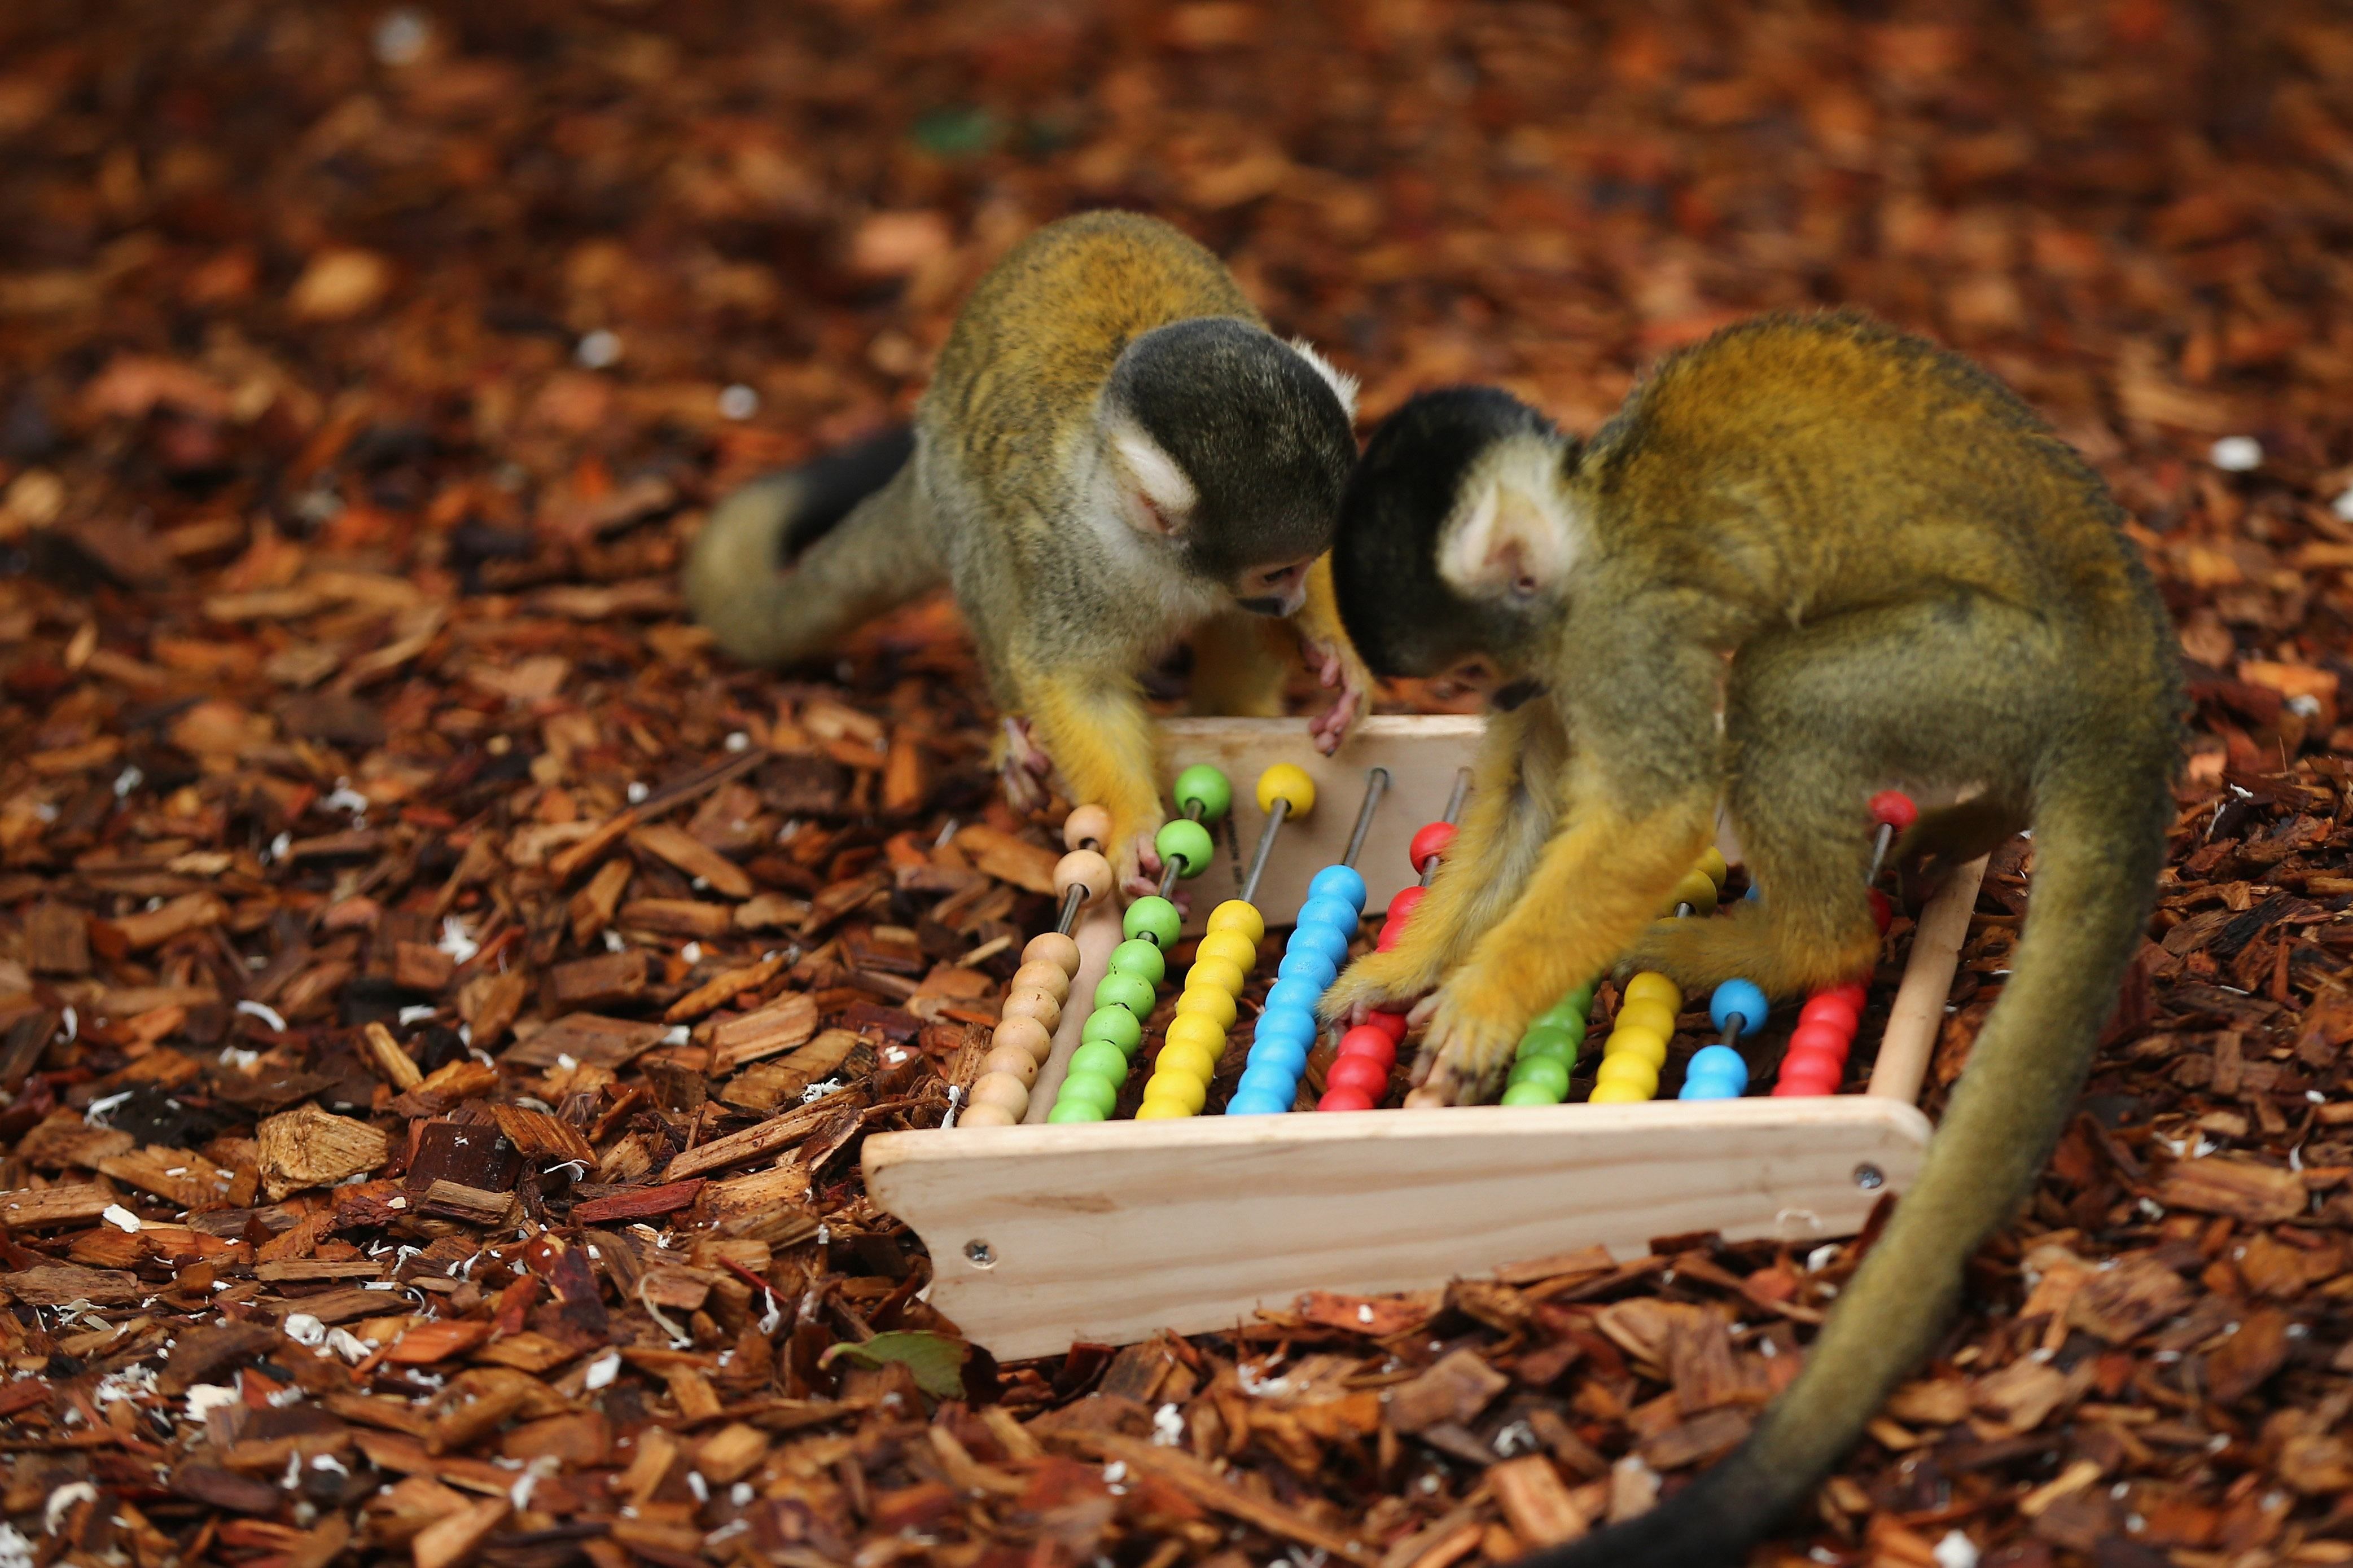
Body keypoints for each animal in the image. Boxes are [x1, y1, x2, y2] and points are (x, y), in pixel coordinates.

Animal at [682, 213, 1374, 888]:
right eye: (1273, 574)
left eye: (1305, 565)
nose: (1289, 602)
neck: (1167, 561)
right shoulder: (1085, 567)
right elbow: (1073, 679)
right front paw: (1131, 824)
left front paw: (1337, 657)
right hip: (948, 481)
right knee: (986, 545)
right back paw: (1014, 734)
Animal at [1327, 310, 2183, 1568]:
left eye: (1472, 668)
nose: (1490, 698)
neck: (1595, 511)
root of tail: (2136, 681)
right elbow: (1532, 791)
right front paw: (1403, 965)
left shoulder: (1612, 628)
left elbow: (1652, 815)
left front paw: (1483, 1000)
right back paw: (1973, 823)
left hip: (1996, 669)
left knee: (1786, 693)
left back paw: (1798, 949)